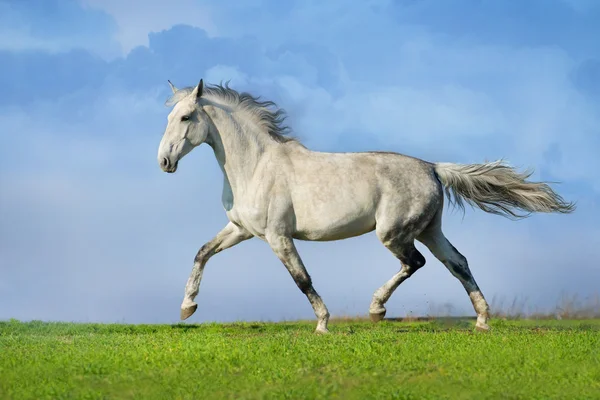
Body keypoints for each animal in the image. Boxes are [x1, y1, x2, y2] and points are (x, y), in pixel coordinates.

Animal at [157, 79, 576, 334]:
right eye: (169, 116)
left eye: (186, 117)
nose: (164, 162)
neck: (257, 166)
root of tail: (432, 167)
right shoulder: (242, 230)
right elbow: (202, 253)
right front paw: (187, 308)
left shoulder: (278, 236)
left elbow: (302, 279)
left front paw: (323, 324)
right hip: (430, 230)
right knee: (457, 262)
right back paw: (483, 320)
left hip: (393, 232)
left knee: (415, 263)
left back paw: (377, 309)